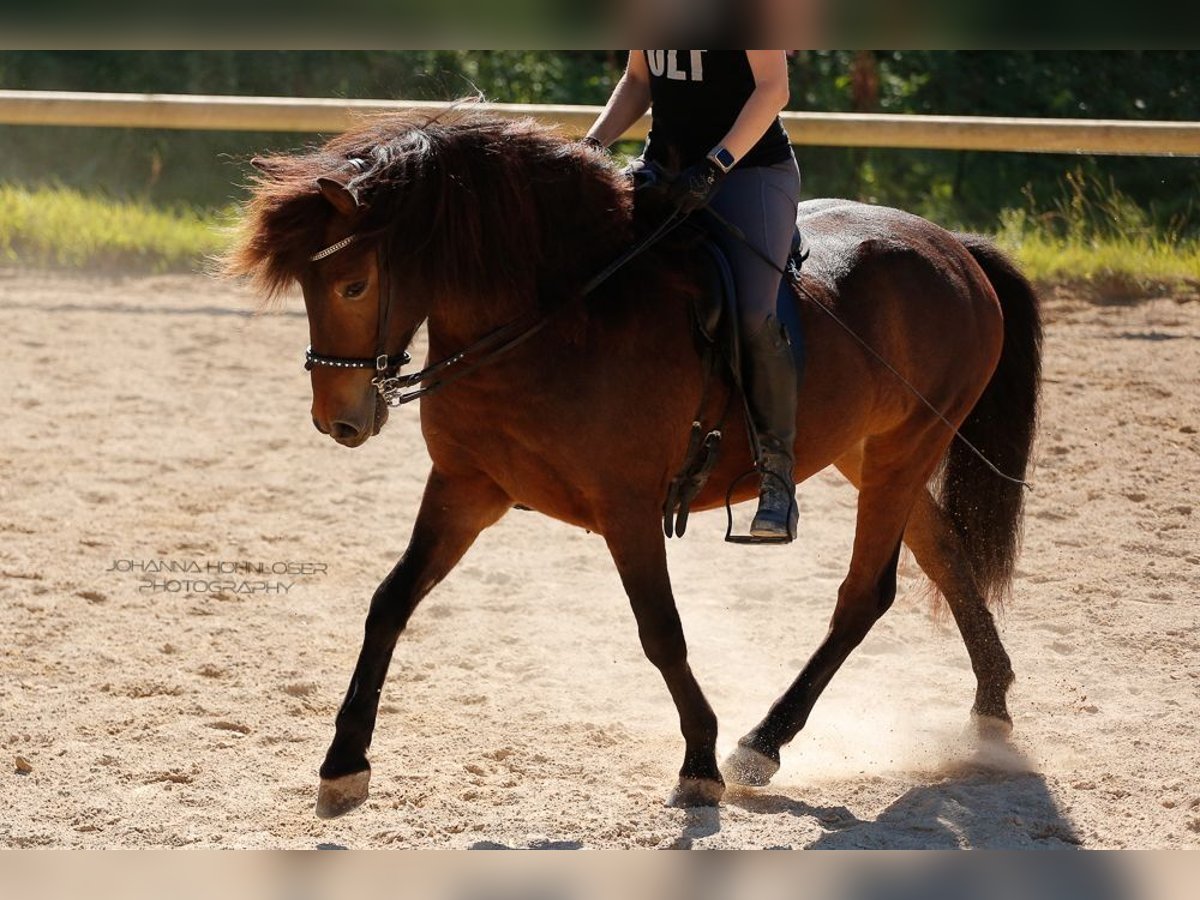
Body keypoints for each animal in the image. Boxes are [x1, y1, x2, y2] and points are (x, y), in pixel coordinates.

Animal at [225, 111, 1041, 816]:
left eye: (354, 283)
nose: (339, 419)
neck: (555, 318)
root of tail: (953, 248)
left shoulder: (627, 507)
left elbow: (660, 631)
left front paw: (701, 762)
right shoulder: (466, 487)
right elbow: (390, 603)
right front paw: (343, 765)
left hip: (907, 447)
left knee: (865, 594)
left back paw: (762, 744)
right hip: (871, 452)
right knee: (944, 552)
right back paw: (991, 706)